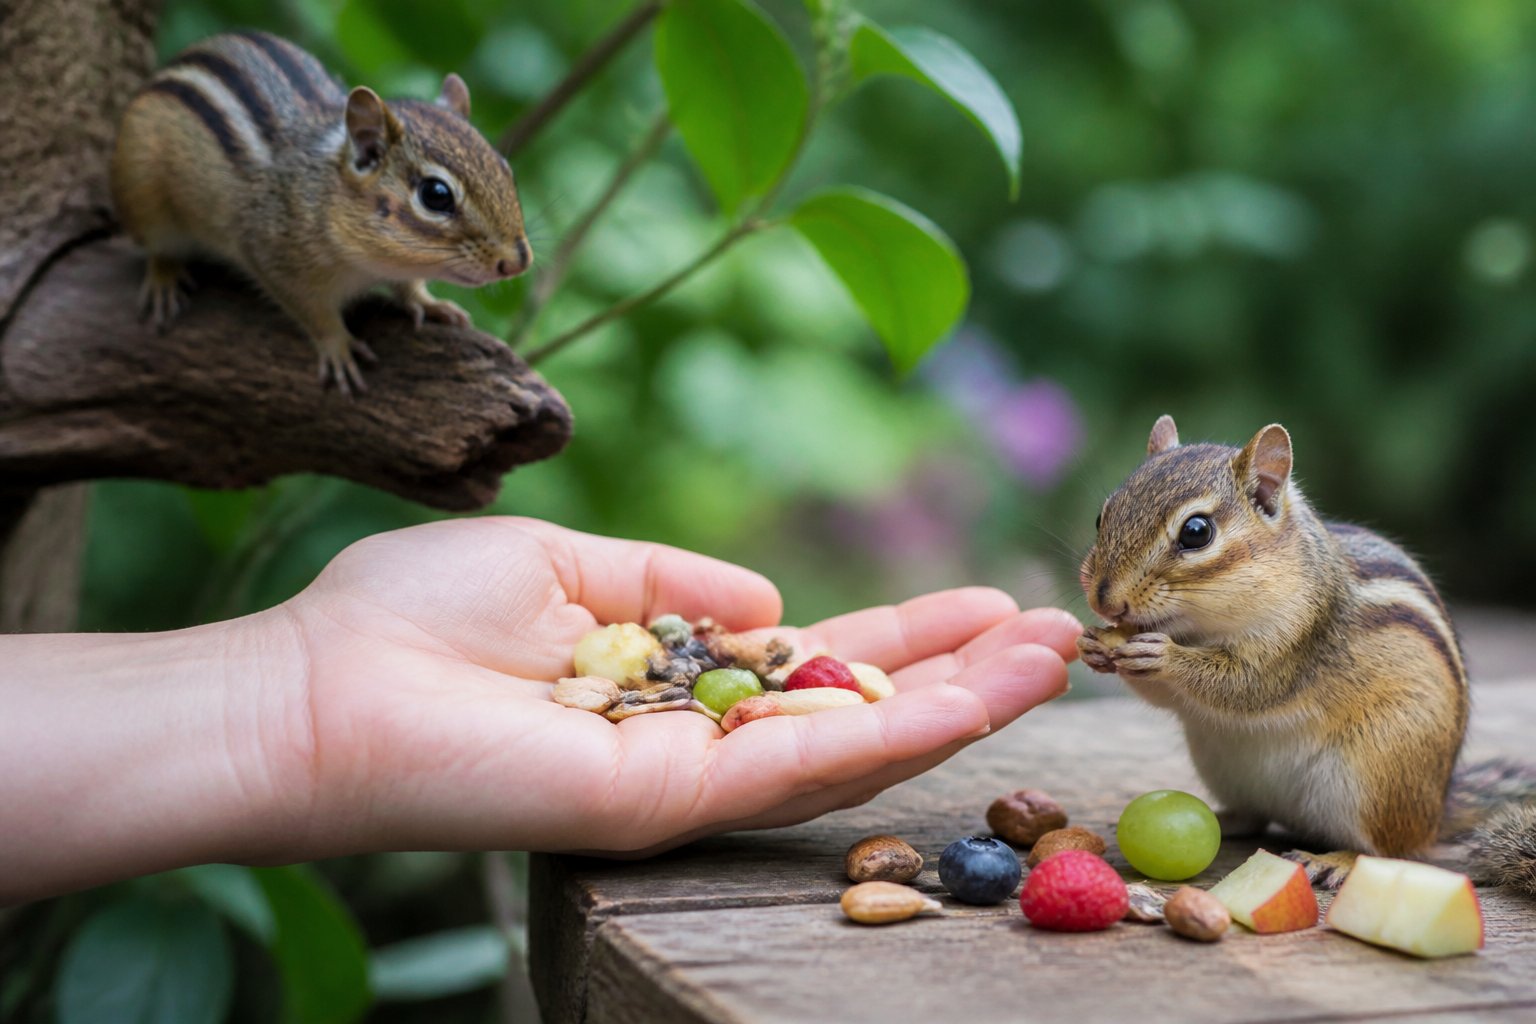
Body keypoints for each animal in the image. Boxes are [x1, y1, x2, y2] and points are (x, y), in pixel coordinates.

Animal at [109, 31, 532, 394]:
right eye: (436, 195)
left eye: (505, 169)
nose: (517, 262)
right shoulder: (272, 256)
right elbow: (312, 311)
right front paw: (338, 346)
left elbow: (408, 285)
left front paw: (429, 302)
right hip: (144, 195)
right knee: (157, 246)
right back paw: (164, 278)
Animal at [1076, 415, 1536, 894]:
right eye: (1102, 516)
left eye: (1196, 532)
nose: (1104, 601)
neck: (1200, 626)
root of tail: (1435, 810)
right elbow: (1169, 698)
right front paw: (1093, 645)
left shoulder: (1298, 641)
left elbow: (1244, 686)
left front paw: (1163, 655)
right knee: (1257, 816)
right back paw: (1226, 818)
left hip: (1376, 775)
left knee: (1391, 849)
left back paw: (1337, 860)